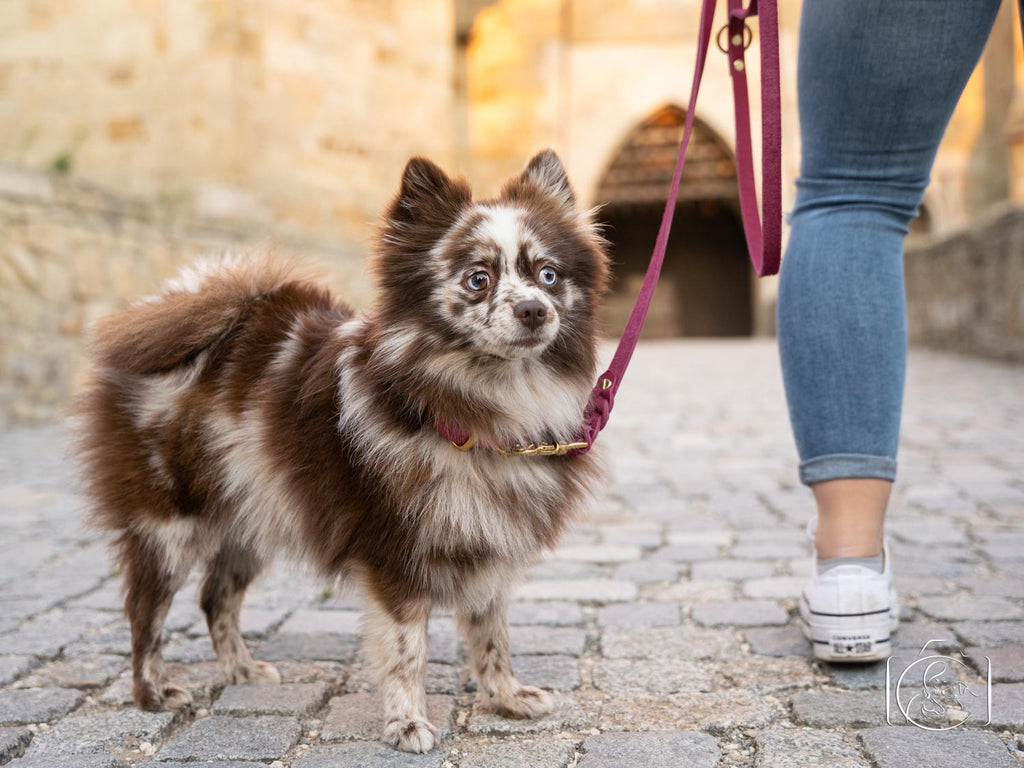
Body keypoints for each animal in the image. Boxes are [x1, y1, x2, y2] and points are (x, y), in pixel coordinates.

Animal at [75, 151, 610, 757]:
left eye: (549, 275)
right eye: (479, 279)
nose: (534, 311)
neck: (479, 405)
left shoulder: (487, 536)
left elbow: (491, 633)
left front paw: (505, 697)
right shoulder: (396, 552)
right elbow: (406, 650)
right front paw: (407, 724)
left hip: (253, 516)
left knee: (216, 597)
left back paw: (241, 671)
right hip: (169, 527)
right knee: (146, 612)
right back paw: (152, 692)